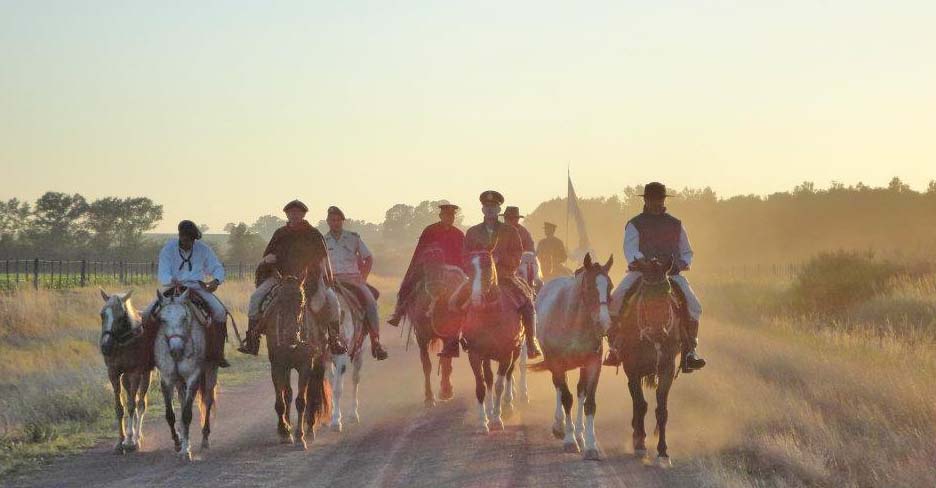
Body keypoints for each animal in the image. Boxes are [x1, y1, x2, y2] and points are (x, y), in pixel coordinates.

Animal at [98, 290, 152, 454]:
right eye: (102, 314)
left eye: (121, 317)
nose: (105, 346)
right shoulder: (113, 374)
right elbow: (120, 407)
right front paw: (119, 441)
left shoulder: (135, 373)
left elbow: (132, 406)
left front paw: (129, 441)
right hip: (125, 378)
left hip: (145, 374)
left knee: (140, 404)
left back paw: (137, 436)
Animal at [153, 286, 220, 462]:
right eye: (162, 320)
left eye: (184, 318)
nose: (176, 350)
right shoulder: (167, 378)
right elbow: (171, 414)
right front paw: (179, 444)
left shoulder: (193, 377)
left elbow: (187, 415)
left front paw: (186, 451)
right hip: (179, 382)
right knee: (183, 401)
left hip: (211, 371)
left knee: (208, 400)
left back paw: (205, 439)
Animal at [262, 272, 334, 448]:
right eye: (279, 301)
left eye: (301, 302)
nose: (290, 336)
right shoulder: (278, 365)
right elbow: (280, 401)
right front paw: (284, 431)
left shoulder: (305, 366)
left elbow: (302, 400)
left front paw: (300, 435)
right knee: (288, 393)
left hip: (318, 364)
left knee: (312, 392)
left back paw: (309, 428)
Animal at [532, 255, 616, 462]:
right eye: (590, 287)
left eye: (609, 287)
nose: (605, 323)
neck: (572, 321)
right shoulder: (557, 364)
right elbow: (566, 398)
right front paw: (569, 440)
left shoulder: (593, 364)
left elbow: (589, 403)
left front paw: (590, 446)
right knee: (559, 388)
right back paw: (560, 426)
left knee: (579, 392)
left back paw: (580, 434)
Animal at [612, 255, 684, 466]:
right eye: (645, 295)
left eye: (667, 292)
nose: (659, 332)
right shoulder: (632, 367)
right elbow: (641, 403)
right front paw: (640, 443)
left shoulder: (667, 367)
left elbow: (661, 410)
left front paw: (663, 452)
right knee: (636, 400)